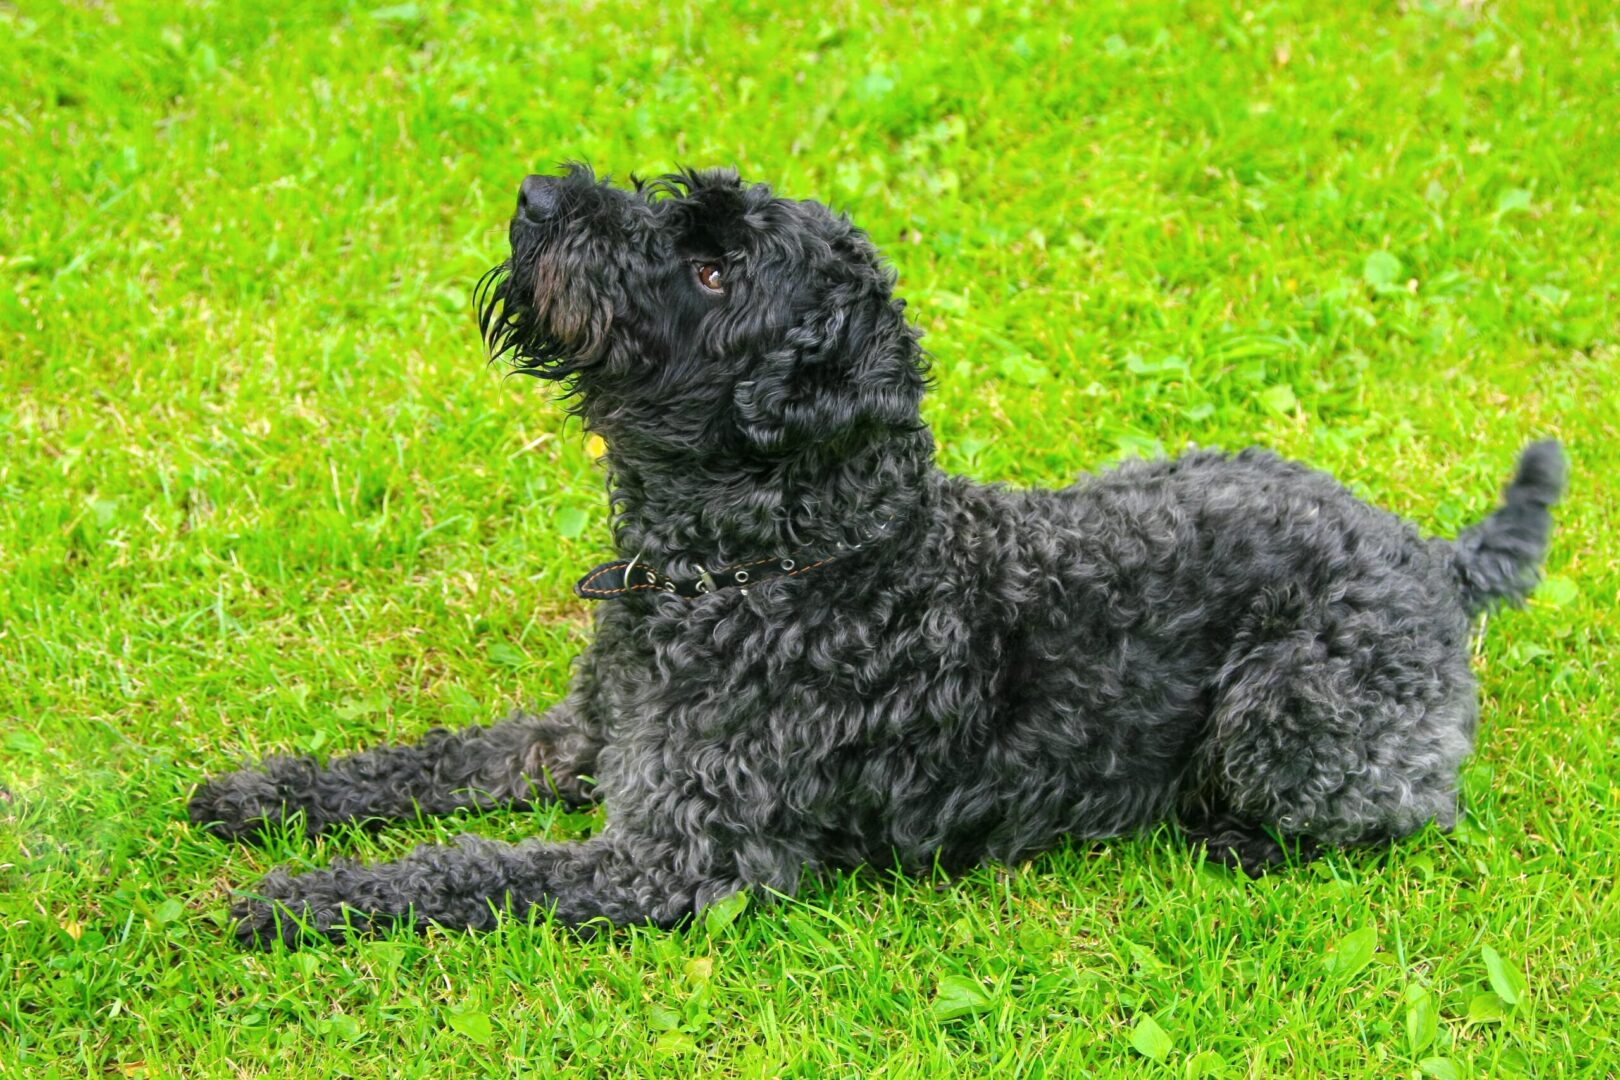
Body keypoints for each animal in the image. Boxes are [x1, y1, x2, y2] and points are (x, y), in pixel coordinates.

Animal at [183, 165, 1561, 952]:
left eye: (710, 266)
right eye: (680, 204)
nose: (537, 200)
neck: (772, 561)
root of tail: (1431, 556)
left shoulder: (673, 863)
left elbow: (462, 871)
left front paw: (303, 900)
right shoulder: (586, 739)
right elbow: (422, 766)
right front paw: (266, 797)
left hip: (1286, 715)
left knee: (1392, 813)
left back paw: (1230, 836)